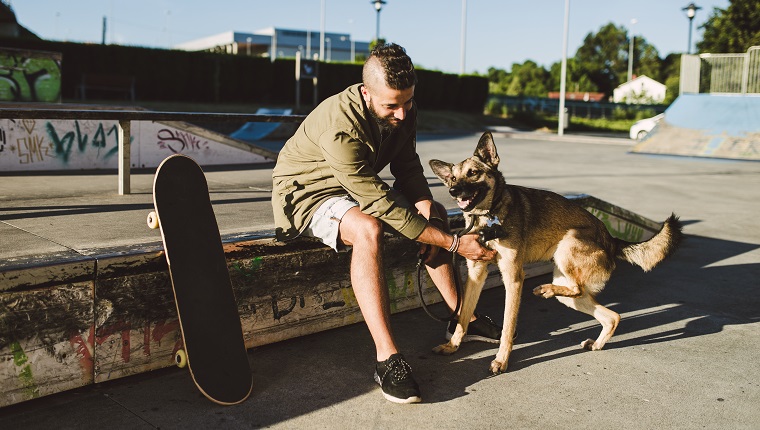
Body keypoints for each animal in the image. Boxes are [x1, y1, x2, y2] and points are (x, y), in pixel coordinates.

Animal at [430, 130, 684, 372]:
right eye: (453, 177)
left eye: (473, 173)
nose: (453, 190)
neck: (488, 217)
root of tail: (611, 239)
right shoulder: (476, 275)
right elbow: (463, 316)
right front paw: (453, 345)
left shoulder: (513, 278)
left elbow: (507, 326)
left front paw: (501, 361)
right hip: (571, 295)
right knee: (611, 316)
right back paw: (596, 341)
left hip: (568, 243)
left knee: (577, 289)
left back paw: (546, 290)